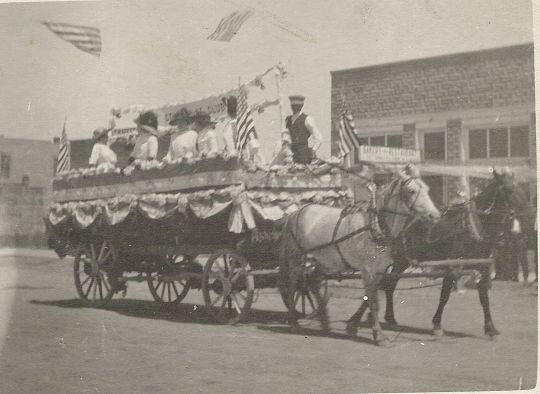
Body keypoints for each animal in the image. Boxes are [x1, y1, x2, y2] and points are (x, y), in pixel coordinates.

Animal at [276, 165, 440, 346]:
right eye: (411, 191)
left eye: (427, 189)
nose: (435, 216)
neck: (376, 224)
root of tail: (295, 212)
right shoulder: (367, 269)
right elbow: (373, 301)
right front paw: (378, 335)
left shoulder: (379, 270)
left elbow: (370, 298)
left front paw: (354, 325)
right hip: (296, 257)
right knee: (293, 285)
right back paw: (294, 322)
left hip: (325, 259)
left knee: (314, 282)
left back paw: (324, 321)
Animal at [348, 168, 532, 338]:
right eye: (508, 189)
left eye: (520, 187)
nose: (529, 211)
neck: (475, 226)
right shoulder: (452, 266)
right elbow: (444, 295)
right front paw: (437, 325)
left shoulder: (483, 267)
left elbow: (484, 297)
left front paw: (490, 328)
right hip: (393, 260)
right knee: (379, 285)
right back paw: (358, 319)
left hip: (402, 262)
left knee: (388, 285)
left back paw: (388, 318)